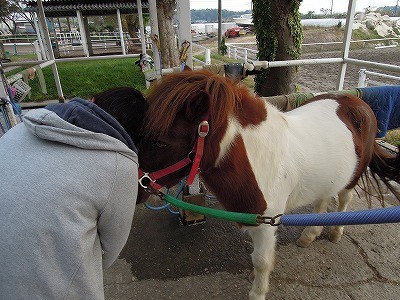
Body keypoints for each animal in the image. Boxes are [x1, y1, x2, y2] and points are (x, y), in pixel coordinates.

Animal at [138, 69, 400, 298]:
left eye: (161, 142)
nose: (139, 188)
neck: (257, 159)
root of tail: (358, 103)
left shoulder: (266, 222)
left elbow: (261, 260)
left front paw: (258, 292)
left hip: (352, 177)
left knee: (344, 198)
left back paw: (335, 232)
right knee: (322, 199)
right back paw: (310, 234)